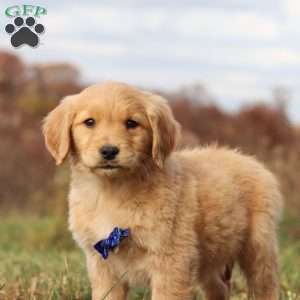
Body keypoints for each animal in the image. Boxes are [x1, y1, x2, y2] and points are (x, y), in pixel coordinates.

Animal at [42, 81, 284, 298]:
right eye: (89, 122)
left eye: (132, 123)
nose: (109, 151)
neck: (112, 190)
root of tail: (247, 158)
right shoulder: (102, 264)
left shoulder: (172, 260)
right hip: (211, 260)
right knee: (219, 289)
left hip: (258, 247)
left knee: (265, 286)